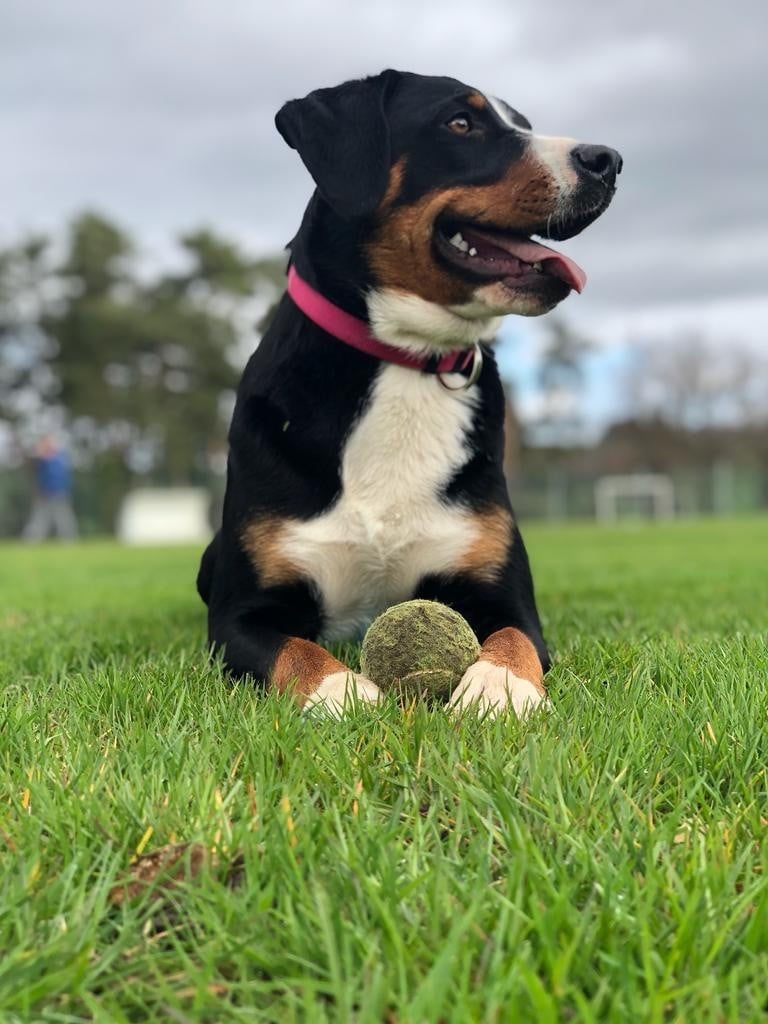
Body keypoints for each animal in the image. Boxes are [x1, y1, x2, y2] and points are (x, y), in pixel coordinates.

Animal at [195, 68, 622, 716]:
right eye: (461, 122)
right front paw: (344, 693)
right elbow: (297, 652)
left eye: (522, 122)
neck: (409, 358)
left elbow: (512, 638)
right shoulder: (240, 618)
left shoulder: (503, 594)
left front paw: (498, 689)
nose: (608, 160)